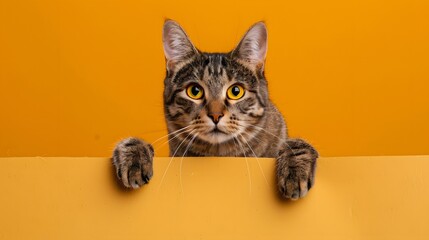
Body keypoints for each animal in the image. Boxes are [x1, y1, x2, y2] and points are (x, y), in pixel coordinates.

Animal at [112, 20, 320, 201]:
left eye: (236, 91)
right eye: (194, 91)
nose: (215, 115)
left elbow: (296, 145)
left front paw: (294, 170)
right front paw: (133, 154)